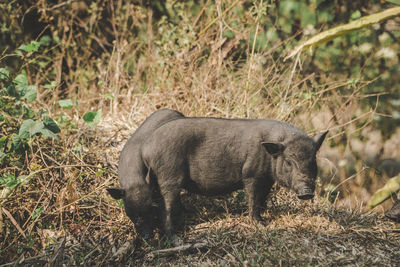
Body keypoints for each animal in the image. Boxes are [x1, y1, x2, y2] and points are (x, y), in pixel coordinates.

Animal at [141, 117, 328, 241]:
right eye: (289, 162)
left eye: (313, 161)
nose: (306, 192)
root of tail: (147, 149)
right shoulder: (251, 174)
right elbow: (253, 198)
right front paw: (260, 224)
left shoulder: (267, 178)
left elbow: (263, 197)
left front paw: (265, 214)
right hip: (168, 175)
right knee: (165, 206)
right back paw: (176, 239)